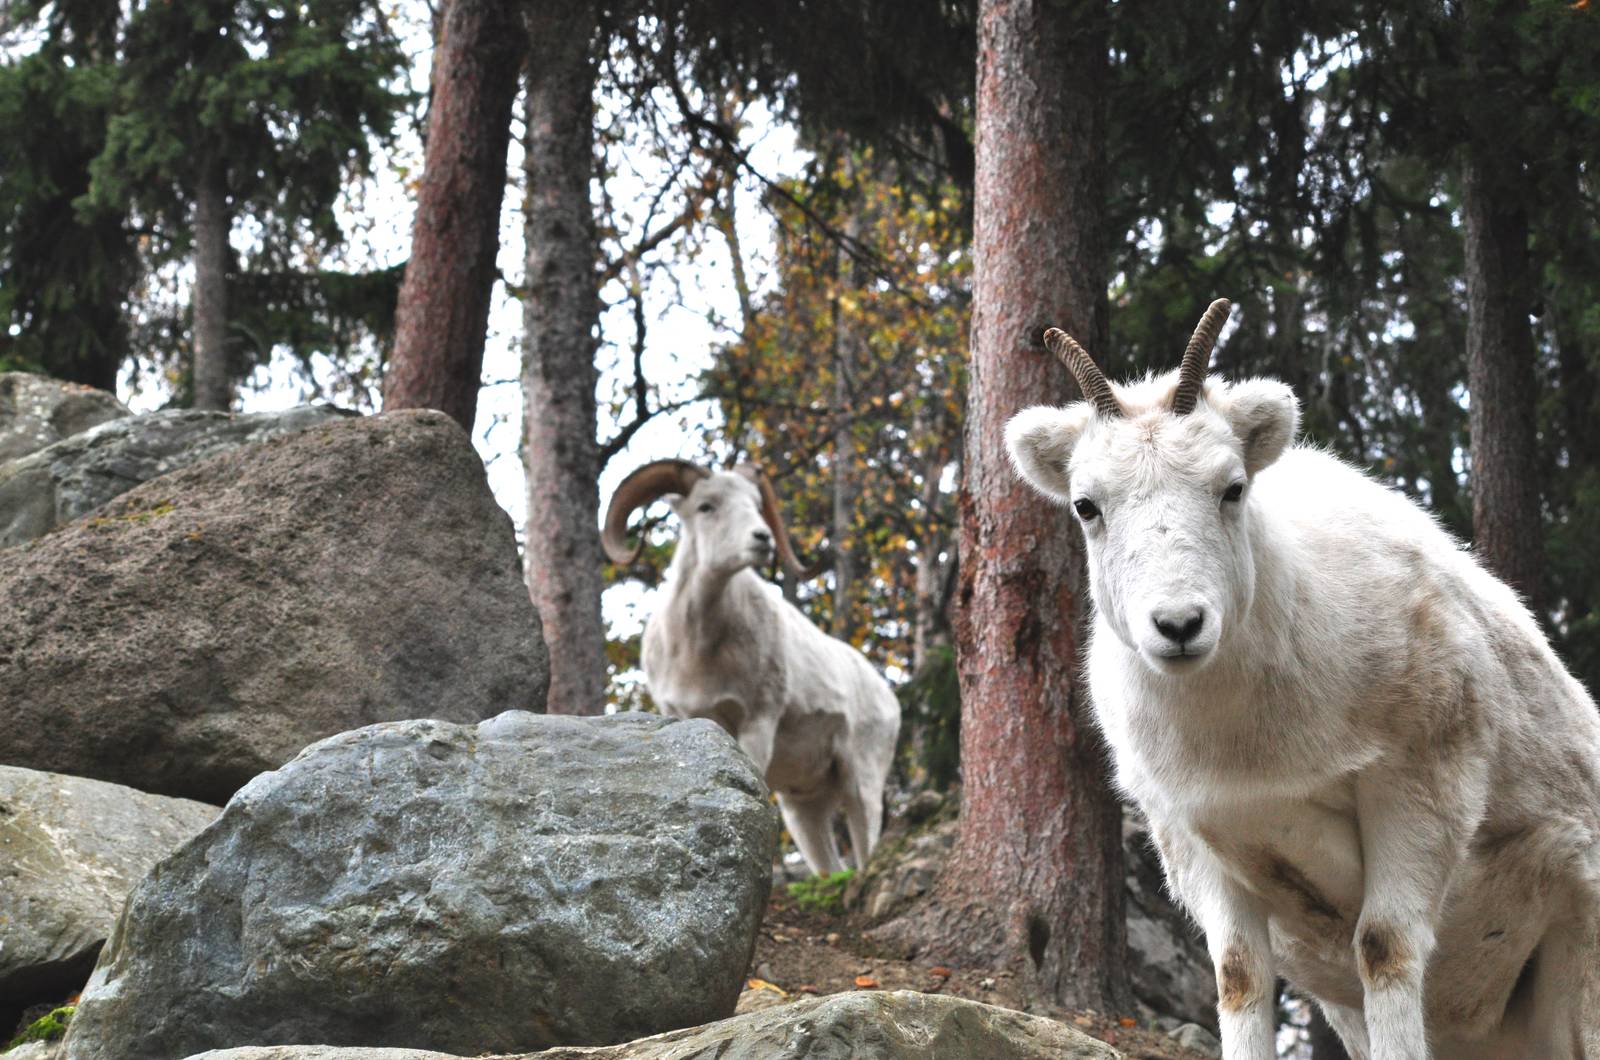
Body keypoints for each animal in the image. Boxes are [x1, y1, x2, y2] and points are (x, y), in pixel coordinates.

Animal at [602, 460, 901, 877]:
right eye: (706, 506)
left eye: (755, 504)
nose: (762, 539)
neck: (699, 652)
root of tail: (889, 700)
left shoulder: (757, 721)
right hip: (804, 809)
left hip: (861, 784)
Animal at [1004, 299, 1600, 1060]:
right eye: (1087, 505)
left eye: (1231, 488)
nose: (1178, 625)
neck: (1257, 748)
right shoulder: (1201, 837)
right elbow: (1239, 976)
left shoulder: (1417, 789)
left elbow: (1386, 948)